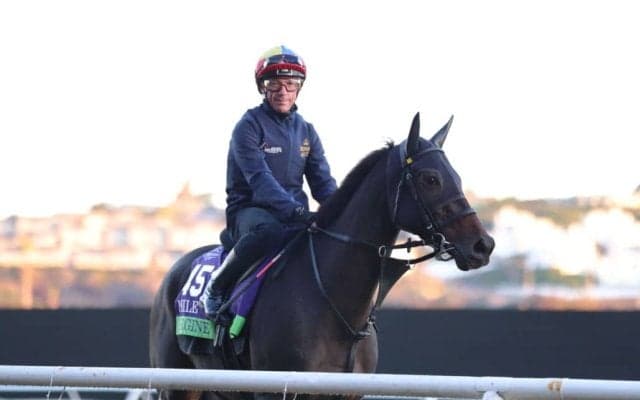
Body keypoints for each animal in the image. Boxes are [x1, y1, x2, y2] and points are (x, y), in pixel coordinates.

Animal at [149, 113, 495, 400]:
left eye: (456, 177)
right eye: (430, 179)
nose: (483, 245)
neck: (334, 303)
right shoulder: (274, 390)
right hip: (177, 384)